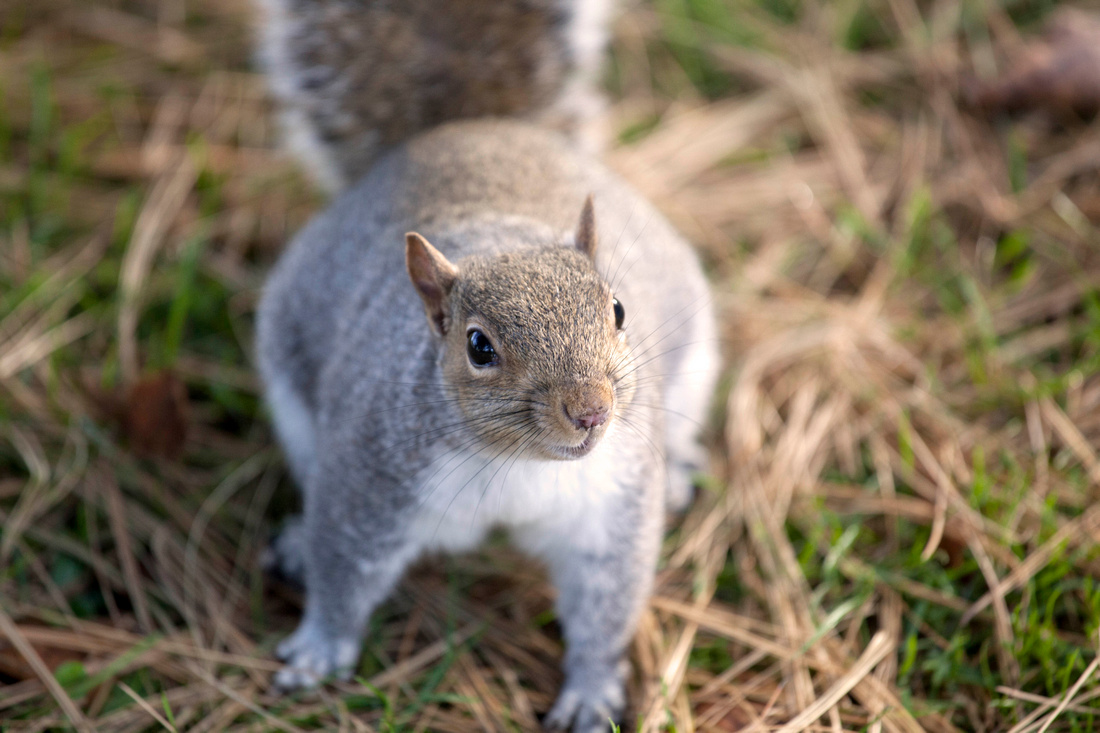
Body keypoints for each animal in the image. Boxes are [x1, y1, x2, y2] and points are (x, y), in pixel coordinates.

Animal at [253, 2, 721, 726]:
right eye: (479, 347)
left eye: (618, 309)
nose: (592, 411)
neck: (518, 466)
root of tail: (468, 128)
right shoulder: (368, 475)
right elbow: (343, 563)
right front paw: (319, 646)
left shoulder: (611, 501)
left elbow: (606, 599)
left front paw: (592, 690)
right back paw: (297, 543)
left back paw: (679, 472)